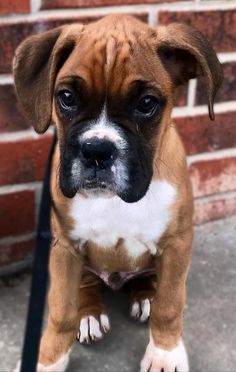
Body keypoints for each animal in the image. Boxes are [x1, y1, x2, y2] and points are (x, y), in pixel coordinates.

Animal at [13, 14, 223, 372]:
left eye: (146, 104)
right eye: (66, 97)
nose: (97, 150)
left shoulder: (177, 244)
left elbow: (170, 306)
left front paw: (165, 353)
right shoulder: (64, 247)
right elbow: (61, 312)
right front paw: (47, 360)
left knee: (152, 284)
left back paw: (146, 295)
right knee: (86, 287)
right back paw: (89, 314)